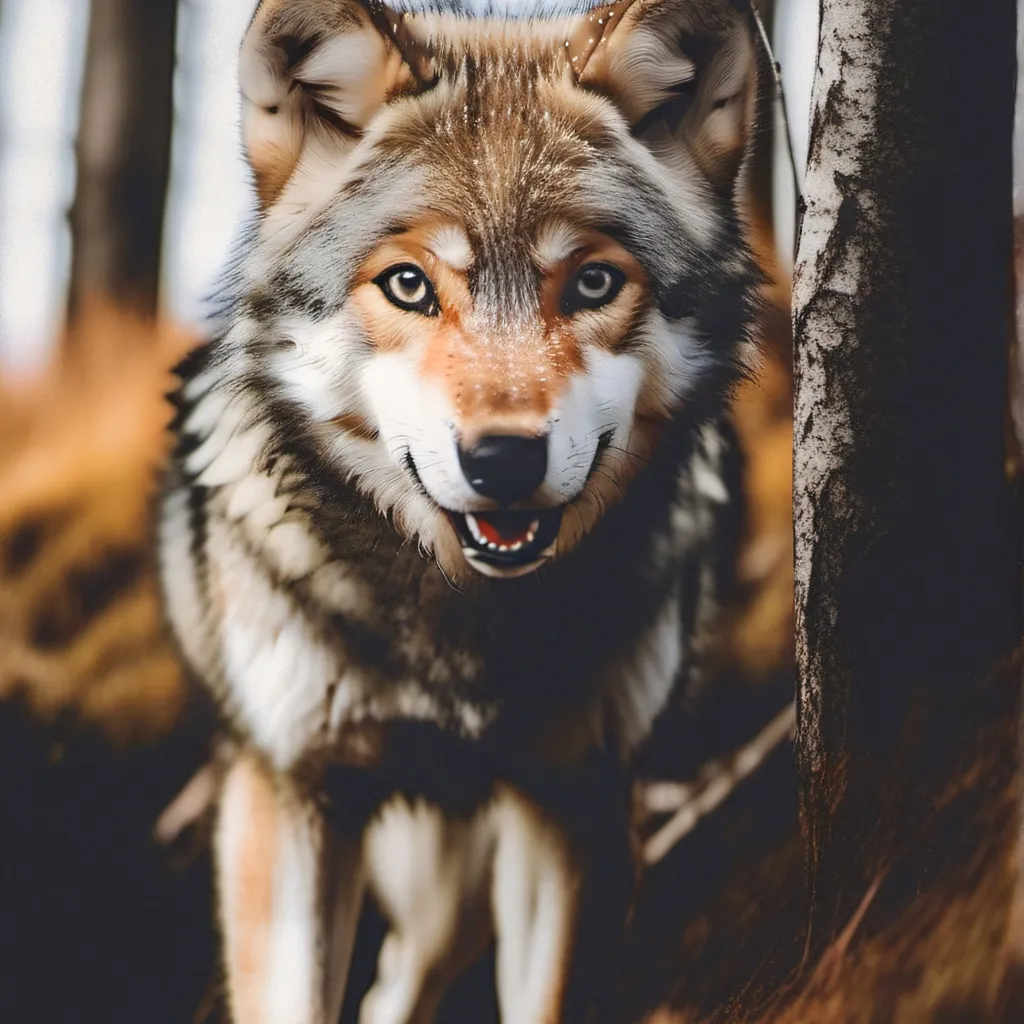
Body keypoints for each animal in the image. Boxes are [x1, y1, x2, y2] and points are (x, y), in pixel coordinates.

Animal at [158, 1, 762, 1020]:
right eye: (409, 285)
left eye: (593, 283)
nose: (503, 461)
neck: (465, 634)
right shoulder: (289, 790)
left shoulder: (571, 796)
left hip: (456, 887)